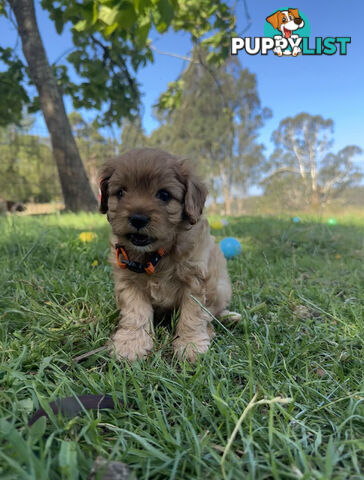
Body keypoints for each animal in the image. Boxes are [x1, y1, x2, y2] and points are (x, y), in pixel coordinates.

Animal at [98, 148, 240, 362]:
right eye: (121, 192)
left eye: (164, 195)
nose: (138, 219)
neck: (156, 255)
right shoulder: (128, 281)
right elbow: (135, 313)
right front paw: (130, 344)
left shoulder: (196, 280)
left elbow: (193, 315)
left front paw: (190, 345)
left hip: (221, 287)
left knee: (215, 310)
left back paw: (226, 319)